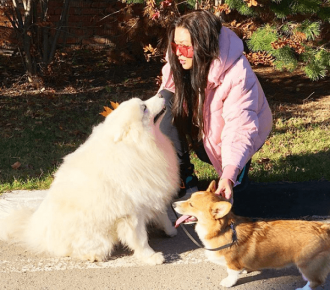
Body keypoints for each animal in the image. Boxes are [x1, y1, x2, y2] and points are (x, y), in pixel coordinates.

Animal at [0, 95, 179, 266]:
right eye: (144, 108)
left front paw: (170, 230)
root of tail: (35, 231)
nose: (161, 95)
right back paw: (92, 256)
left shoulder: (151, 191)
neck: (139, 144)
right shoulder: (131, 212)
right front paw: (151, 257)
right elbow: (140, 239)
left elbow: (162, 215)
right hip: (96, 236)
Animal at [173, 181, 330, 290]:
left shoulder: (232, 263)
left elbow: (231, 274)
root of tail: (323, 227)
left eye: (191, 205)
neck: (223, 229)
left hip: (306, 264)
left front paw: (228, 282)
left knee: (315, 282)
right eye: (189, 198)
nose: (173, 204)